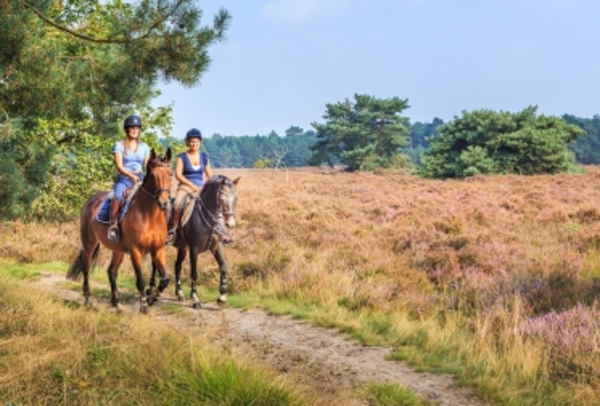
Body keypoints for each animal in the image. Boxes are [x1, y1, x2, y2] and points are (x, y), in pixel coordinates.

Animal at [67, 147, 172, 312]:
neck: (149, 216)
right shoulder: (135, 251)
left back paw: (117, 303)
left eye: (170, 174)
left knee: (111, 271)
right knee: (86, 265)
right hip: (89, 243)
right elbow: (140, 280)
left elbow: (165, 279)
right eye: (153, 175)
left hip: (117, 249)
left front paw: (151, 299)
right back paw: (88, 299)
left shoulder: (158, 249)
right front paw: (144, 306)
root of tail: (90, 200)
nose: (164, 203)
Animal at [151, 174, 240, 308]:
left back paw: (179, 293)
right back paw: (151, 290)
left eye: (236, 198)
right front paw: (195, 299)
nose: (231, 224)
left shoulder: (216, 246)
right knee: (155, 264)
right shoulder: (194, 248)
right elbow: (194, 272)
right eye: (222, 198)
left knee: (177, 266)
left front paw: (222, 297)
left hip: (182, 247)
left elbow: (223, 266)